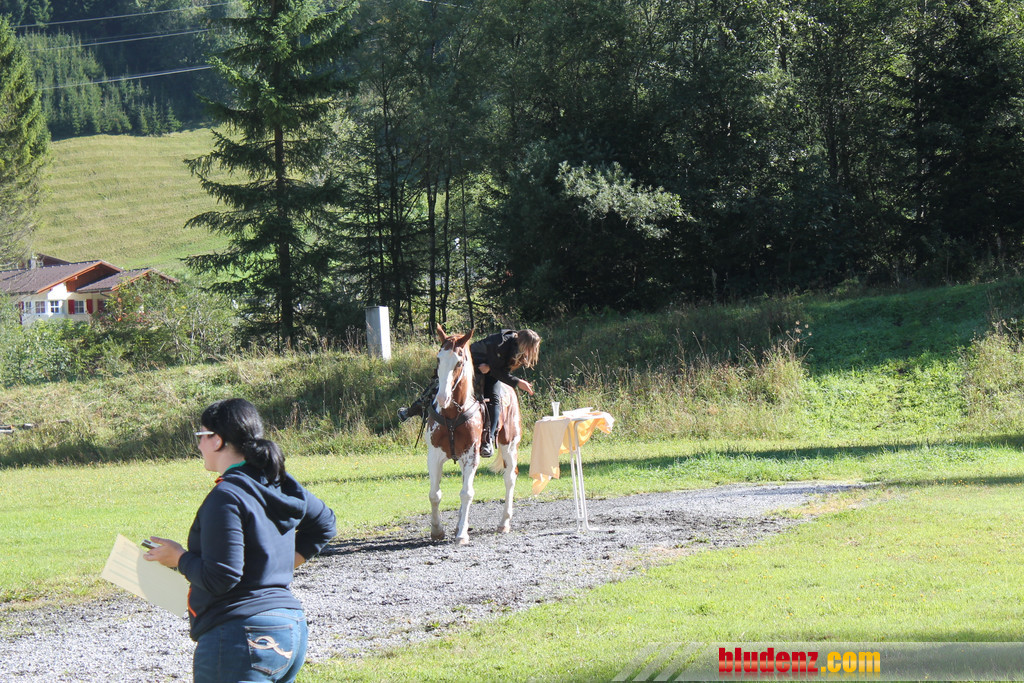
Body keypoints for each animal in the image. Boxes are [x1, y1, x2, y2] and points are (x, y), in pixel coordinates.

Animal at [427, 324, 521, 545]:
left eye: (459, 362)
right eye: (438, 358)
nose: (442, 397)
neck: (452, 414)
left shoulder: (472, 455)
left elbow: (467, 493)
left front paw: (462, 534)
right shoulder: (434, 455)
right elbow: (434, 494)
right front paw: (437, 530)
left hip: (509, 445)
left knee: (509, 478)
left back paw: (504, 523)